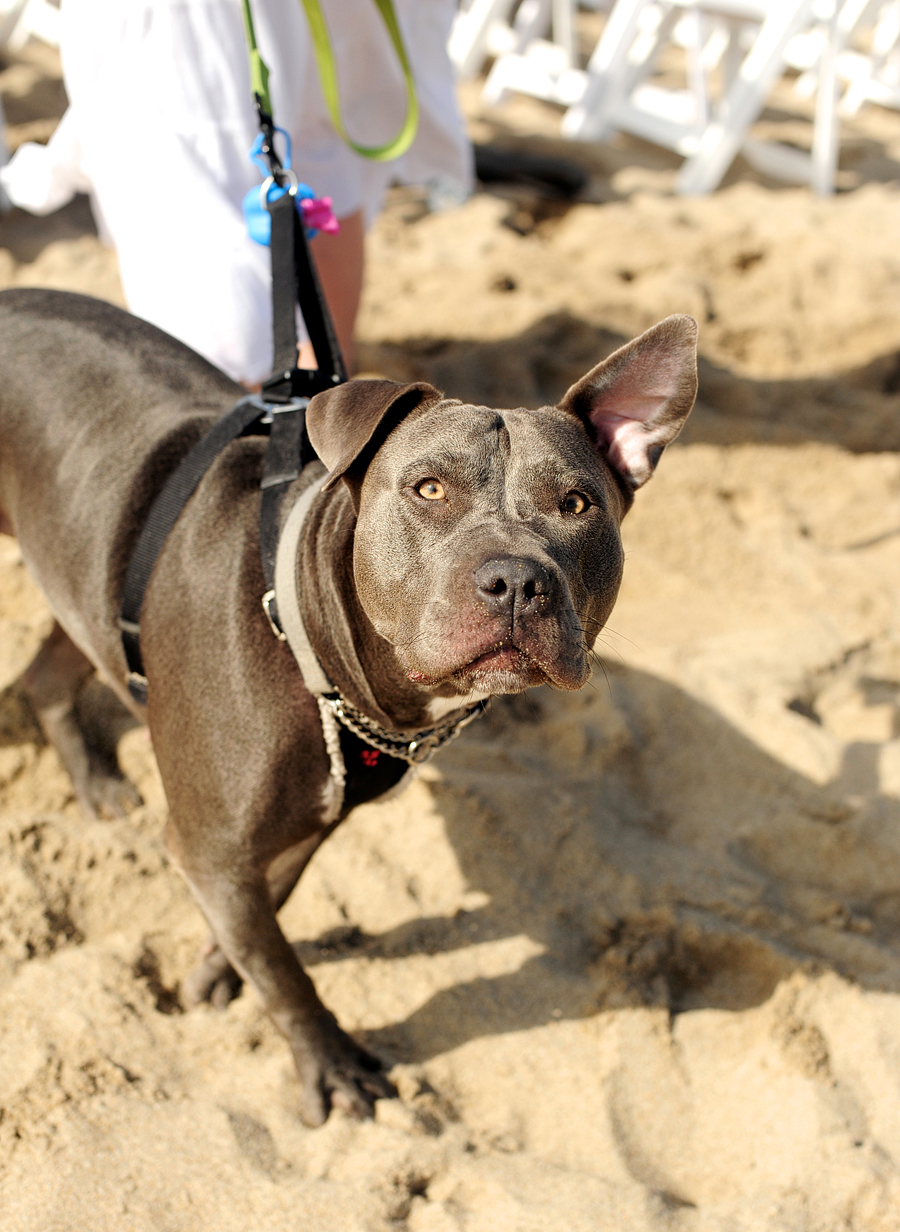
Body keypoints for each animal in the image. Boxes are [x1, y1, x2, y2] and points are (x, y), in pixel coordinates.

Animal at [0, 288, 699, 1128]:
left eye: (576, 503)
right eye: (428, 489)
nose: (517, 581)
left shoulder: (308, 822)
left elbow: (270, 915)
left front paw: (218, 967)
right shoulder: (211, 844)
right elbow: (283, 968)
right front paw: (329, 1064)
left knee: (47, 674)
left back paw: (96, 782)